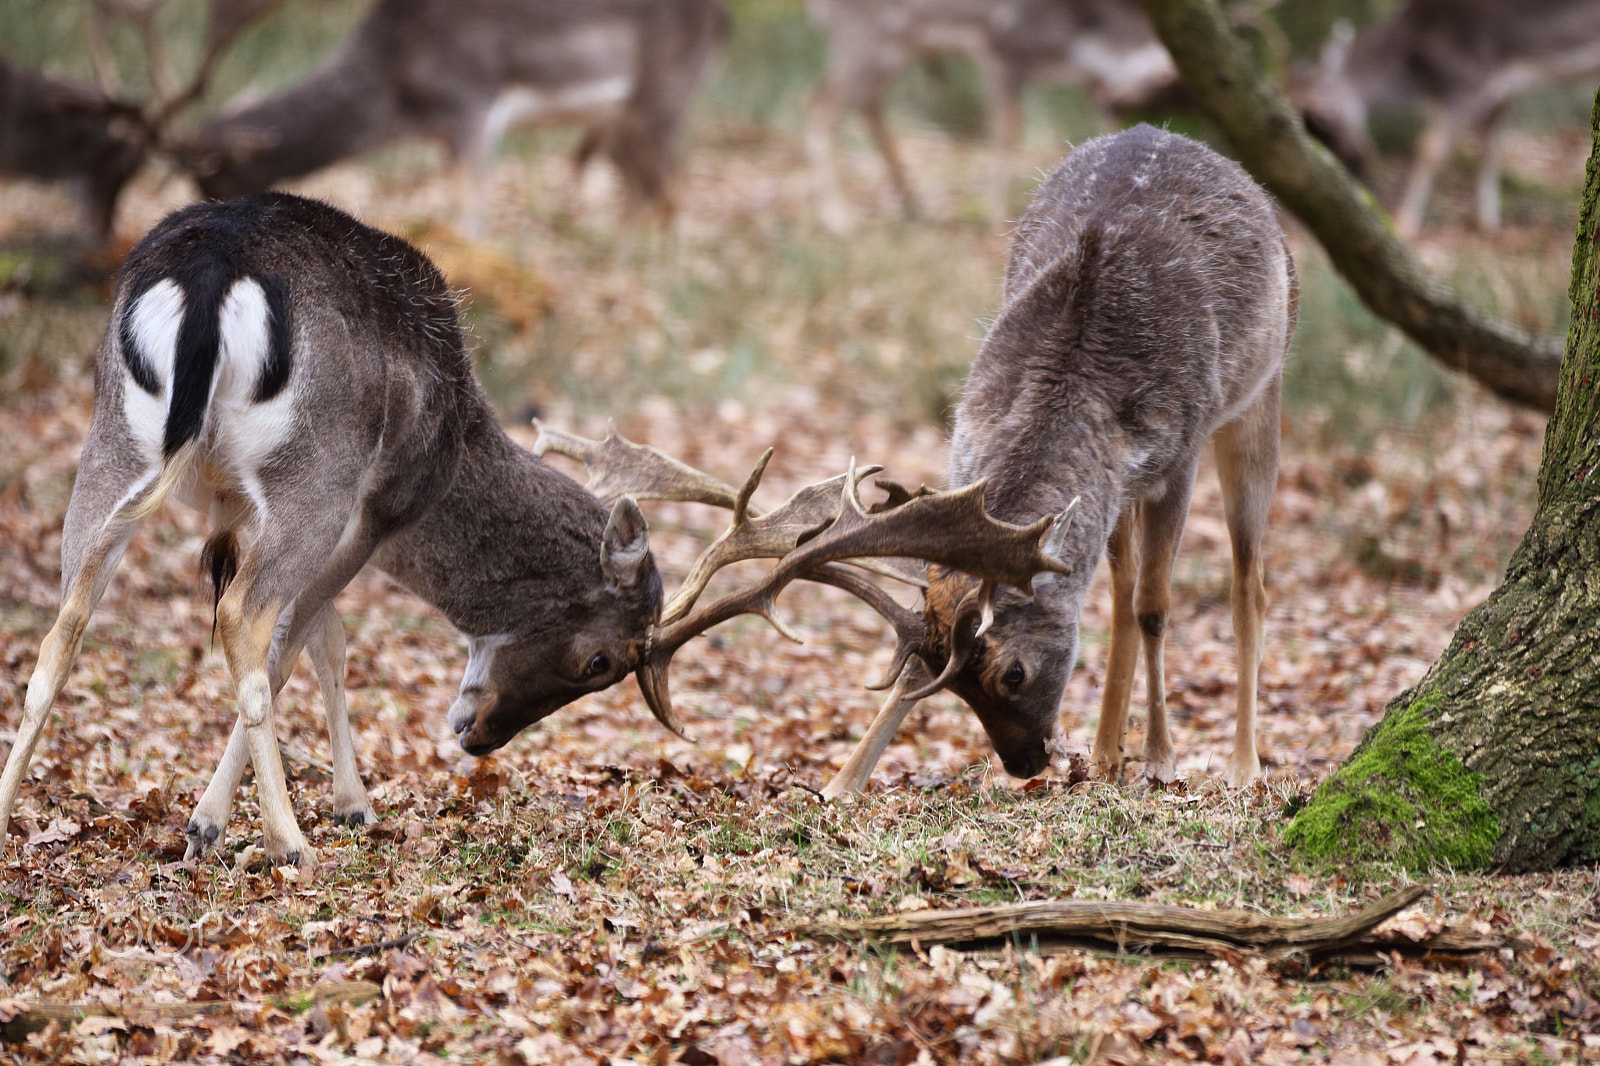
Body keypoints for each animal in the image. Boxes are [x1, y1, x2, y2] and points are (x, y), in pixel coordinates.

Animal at [0, 191, 668, 870]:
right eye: (599, 661)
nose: (481, 739)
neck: (455, 451)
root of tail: (211, 273)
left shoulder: (239, 510)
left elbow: (325, 637)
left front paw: (344, 805)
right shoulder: (377, 513)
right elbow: (294, 649)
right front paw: (215, 824)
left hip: (113, 443)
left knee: (63, 629)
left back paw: (5, 816)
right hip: (315, 475)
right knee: (242, 614)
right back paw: (289, 844)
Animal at [184, 0, 729, 230]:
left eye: (217, 178)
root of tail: (722, 20)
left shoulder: (471, 100)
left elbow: (468, 206)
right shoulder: (446, 131)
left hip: (664, 95)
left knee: (673, 190)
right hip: (618, 122)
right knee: (641, 191)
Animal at [806, 0, 1171, 230]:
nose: (1163, 74)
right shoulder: (1001, 50)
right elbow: (1007, 131)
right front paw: (996, 218)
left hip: (896, 48)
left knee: (864, 103)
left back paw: (913, 203)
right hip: (867, 39)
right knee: (820, 106)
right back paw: (838, 218)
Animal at [1292, 0, 1600, 238]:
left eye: (1325, 112)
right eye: (1302, 124)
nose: (1357, 156)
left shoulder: (1468, 79)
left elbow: (1430, 148)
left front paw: (1404, 224)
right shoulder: (1498, 93)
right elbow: (1491, 148)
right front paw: (1488, 223)